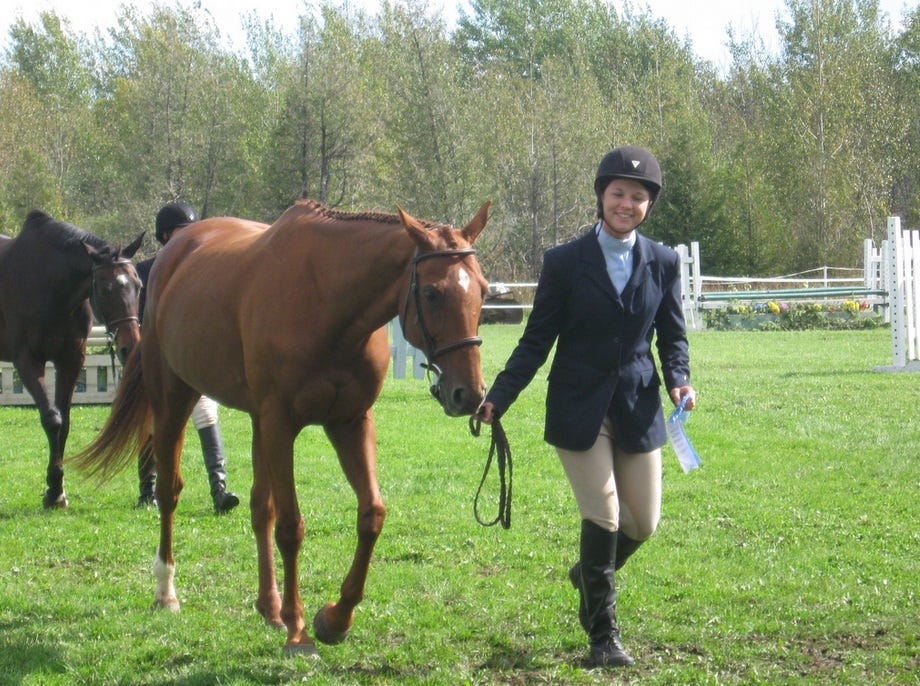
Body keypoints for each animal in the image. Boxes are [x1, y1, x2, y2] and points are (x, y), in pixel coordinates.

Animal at [0, 209, 144, 508]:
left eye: (138, 285)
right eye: (105, 289)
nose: (129, 347)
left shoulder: (71, 359)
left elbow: (64, 422)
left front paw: (57, 490)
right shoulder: (27, 361)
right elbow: (52, 420)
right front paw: (54, 488)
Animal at [72, 199, 491, 656]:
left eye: (484, 291)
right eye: (432, 293)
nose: (468, 394)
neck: (328, 303)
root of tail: (175, 250)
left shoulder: (350, 422)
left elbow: (371, 515)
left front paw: (335, 618)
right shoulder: (281, 425)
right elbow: (291, 527)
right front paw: (299, 631)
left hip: (257, 423)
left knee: (260, 509)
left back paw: (269, 606)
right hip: (174, 400)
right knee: (170, 492)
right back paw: (167, 592)